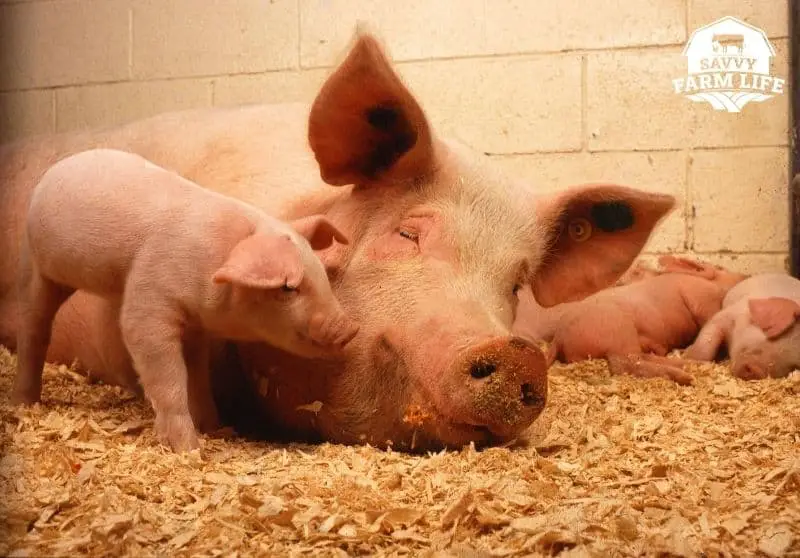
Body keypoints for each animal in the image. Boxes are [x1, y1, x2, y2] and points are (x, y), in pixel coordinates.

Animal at [12, 148, 358, 452]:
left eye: (321, 273)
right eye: (288, 288)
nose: (350, 328)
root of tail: (54, 171)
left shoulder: (195, 326)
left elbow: (198, 378)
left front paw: (216, 429)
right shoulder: (148, 299)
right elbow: (167, 374)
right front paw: (189, 448)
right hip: (41, 268)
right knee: (33, 324)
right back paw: (25, 402)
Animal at [514, 256, 749, 385]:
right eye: (722, 269)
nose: (745, 276)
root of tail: (559, 338)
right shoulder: (700, 296)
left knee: (640, 358)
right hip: (619, 330)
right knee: (625, 364)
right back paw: (686, 377)